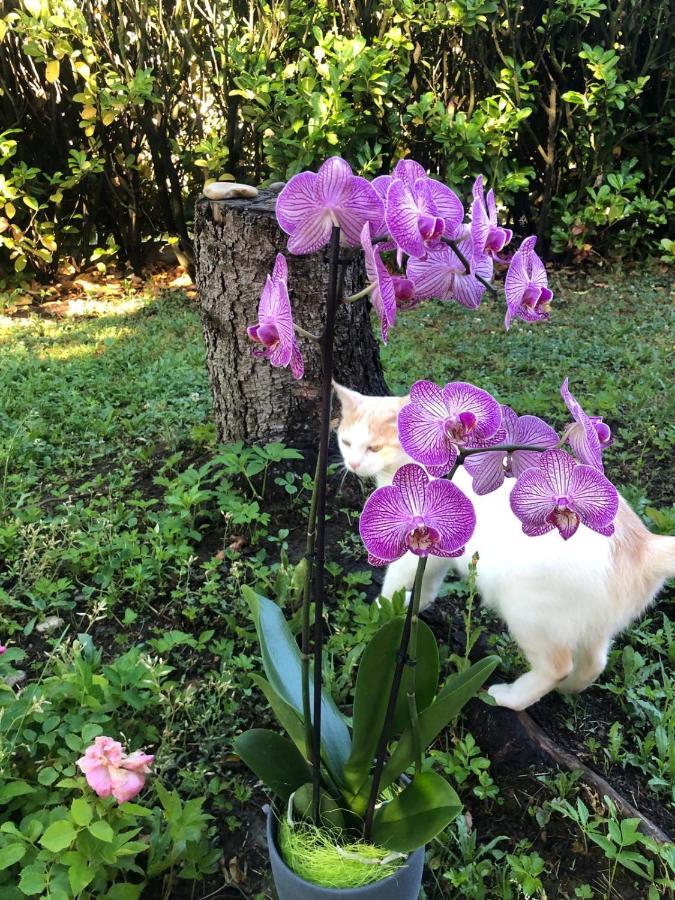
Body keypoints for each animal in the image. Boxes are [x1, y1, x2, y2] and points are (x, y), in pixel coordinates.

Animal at [334, 380, 675, 712]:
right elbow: (427, 581)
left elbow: (396, 580)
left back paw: (510, 697)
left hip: (528, 613)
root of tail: (643, 544)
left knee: (557, 666)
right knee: (595, 663)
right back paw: (569, 689)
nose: (352, 463)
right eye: (346, 443)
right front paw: (414, 605)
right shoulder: (438, 551)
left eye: (374, 447)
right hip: (592, 626)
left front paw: (383, 611)